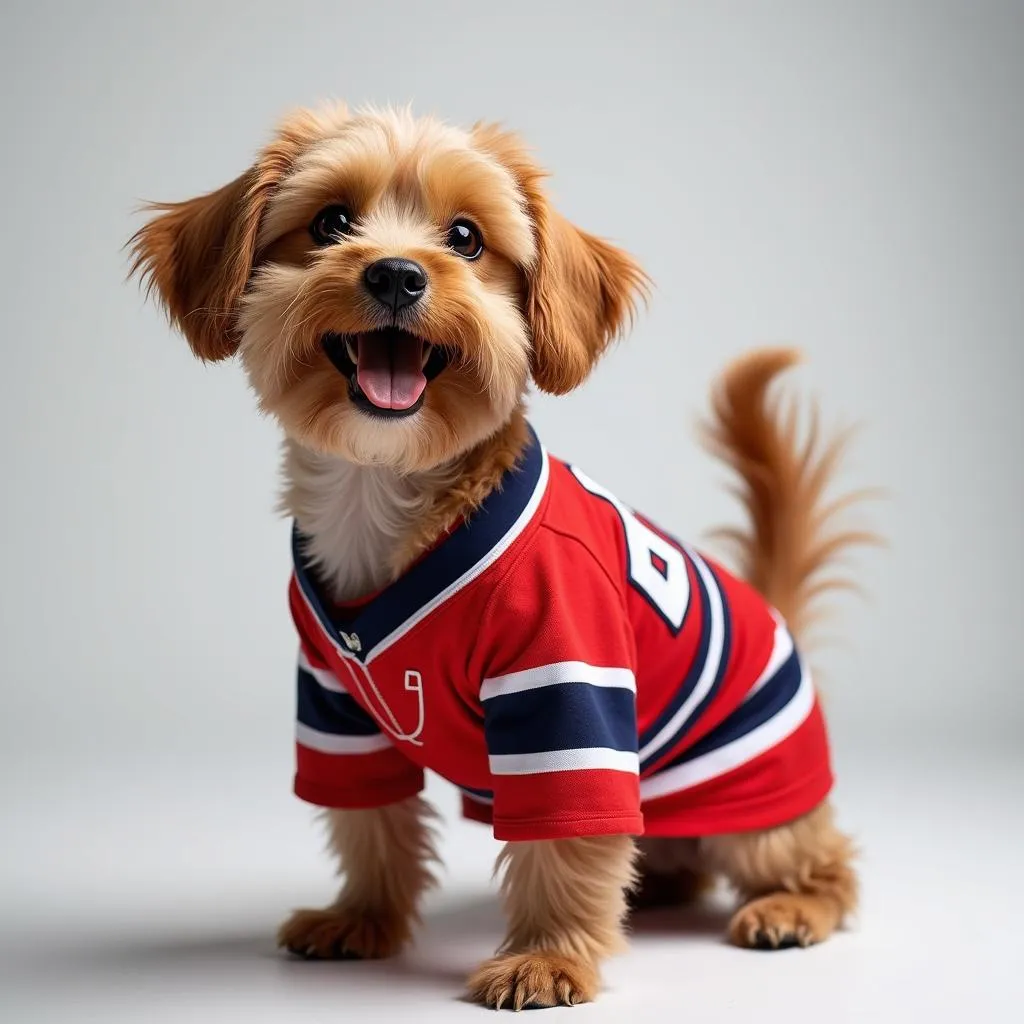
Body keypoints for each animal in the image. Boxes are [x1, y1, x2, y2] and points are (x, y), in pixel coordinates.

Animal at [132, 101, 872, 1007]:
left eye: (466, 238)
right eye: (332, 222)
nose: (396, 275)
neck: (385, 492)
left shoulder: (565, 688)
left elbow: (563, 841)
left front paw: (547, 956)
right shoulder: (335, 704)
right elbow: (369, 821)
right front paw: (364, 918)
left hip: (753, 800)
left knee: (821, 861)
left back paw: (793, 906)